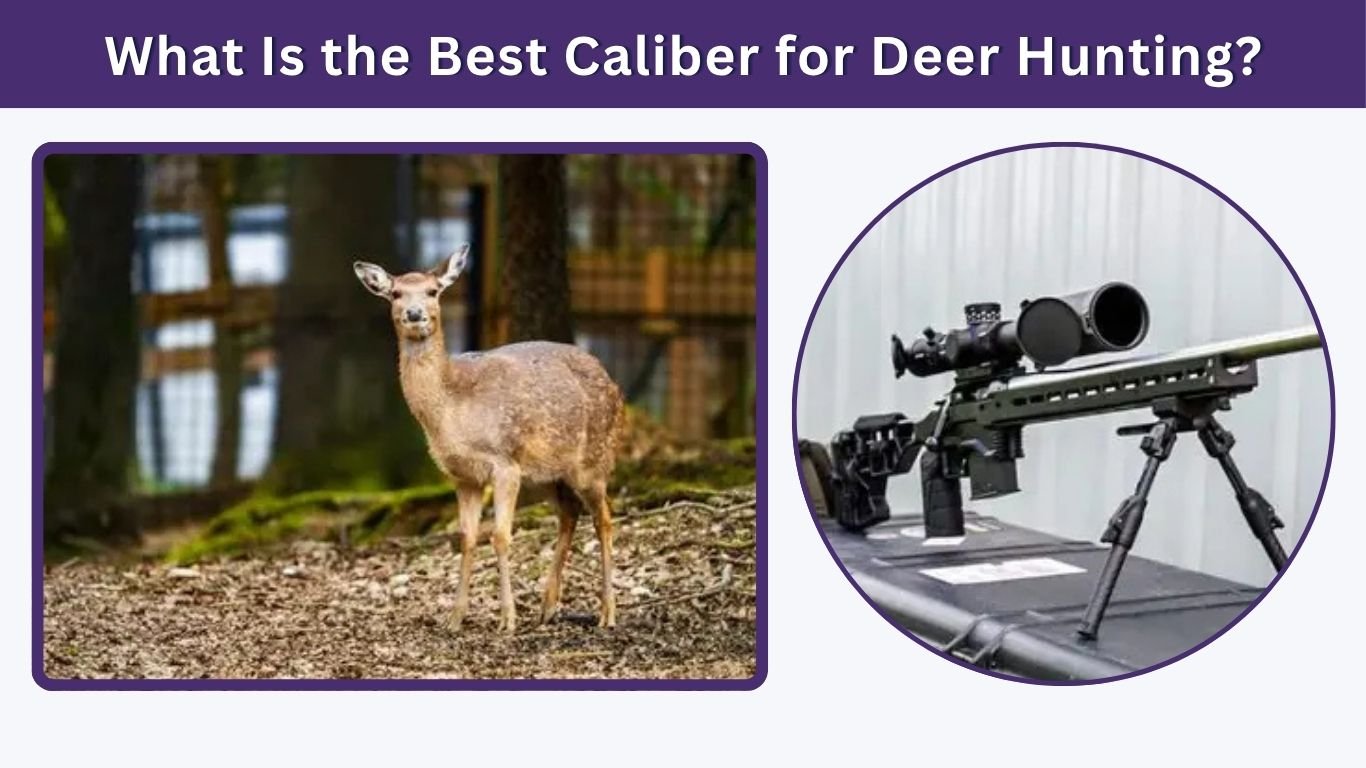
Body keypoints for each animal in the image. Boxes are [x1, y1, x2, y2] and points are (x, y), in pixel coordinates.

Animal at [353, 243, 624, 634]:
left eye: (433, 291)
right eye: (396, 293)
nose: (415, 314)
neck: (450, 411)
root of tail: (614, 384)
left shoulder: (504, 462)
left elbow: (499, 536)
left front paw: (507, 618)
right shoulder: (463, 476)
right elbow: (467, 537)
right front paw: (454, 618)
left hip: (594, 459)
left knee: (604, 518)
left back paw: (607, 612)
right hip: (547, 473)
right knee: (570, 513)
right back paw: (547, 607)